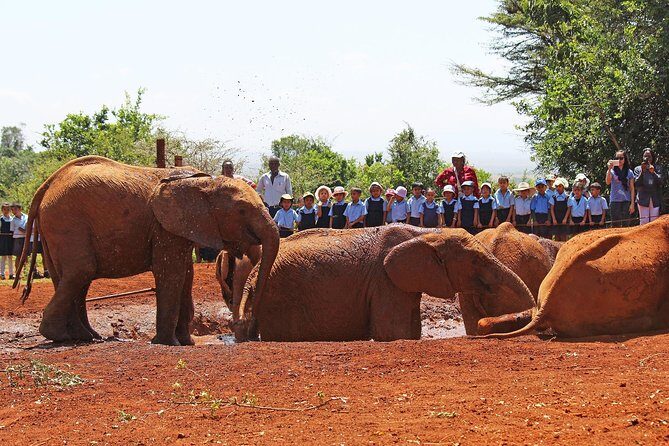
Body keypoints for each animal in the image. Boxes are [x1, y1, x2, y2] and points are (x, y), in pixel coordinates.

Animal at [14, 156, 279, 346]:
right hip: (66, 221)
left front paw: (186, 342)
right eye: (242, 210)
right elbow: (171, 273)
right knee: (81, 271)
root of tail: (46, 185)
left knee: (73, 278)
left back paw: (86, 336)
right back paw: (61, 336)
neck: (204, 182)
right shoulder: (165, 226)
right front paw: (168, 343)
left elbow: (186, 275)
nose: (248, 331)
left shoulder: (179, 228)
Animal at [233, 225, 535, 342]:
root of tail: (253, 275)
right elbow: (393, 333)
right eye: (475, 260)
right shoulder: (384, 282)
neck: (428, 232)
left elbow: (409, 332)